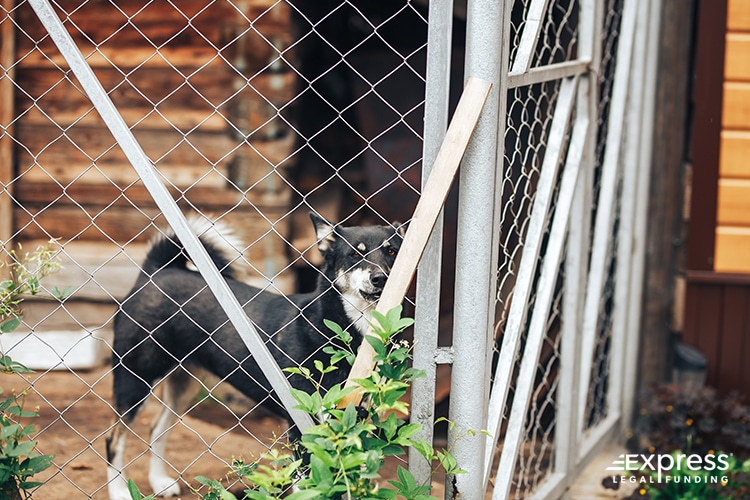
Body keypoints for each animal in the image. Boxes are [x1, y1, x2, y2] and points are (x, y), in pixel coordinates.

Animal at [106, 214, 406, 500]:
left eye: (392, 251)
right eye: (355, 254)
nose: (381, 278)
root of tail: (156, 272)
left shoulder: (356, 423)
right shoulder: (303, 426)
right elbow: (310, 485)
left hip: (183, 383)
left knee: (157, 430)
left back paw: (159, 482)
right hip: (135, 379)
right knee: (114, 439)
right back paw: (119, 491)